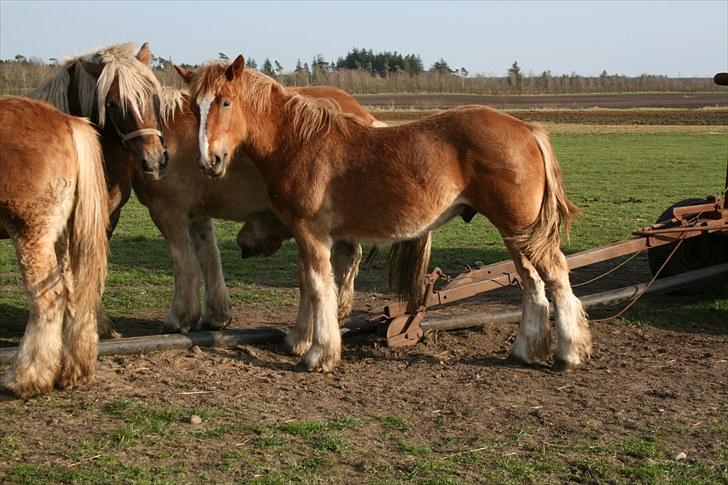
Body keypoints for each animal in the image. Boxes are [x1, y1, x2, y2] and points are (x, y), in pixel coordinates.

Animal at [0, 95, 109, 398]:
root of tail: (67, 122)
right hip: (60, 240)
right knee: (73, 293)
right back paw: (74, 372)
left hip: (31, 235)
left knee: (48, 299)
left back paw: (27, 378)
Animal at [183, 56, 592, 372]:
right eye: (193, 107)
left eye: (225, 102)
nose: (208, 160)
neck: (300, 142)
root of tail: (527, 129)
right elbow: (319, 287)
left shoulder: (310, 231)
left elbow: (318, 287)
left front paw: (318, 354)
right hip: (516, 233)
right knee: (532, 284)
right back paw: (525, 350)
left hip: (521, 228)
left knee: (556, 276)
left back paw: (569, 354)